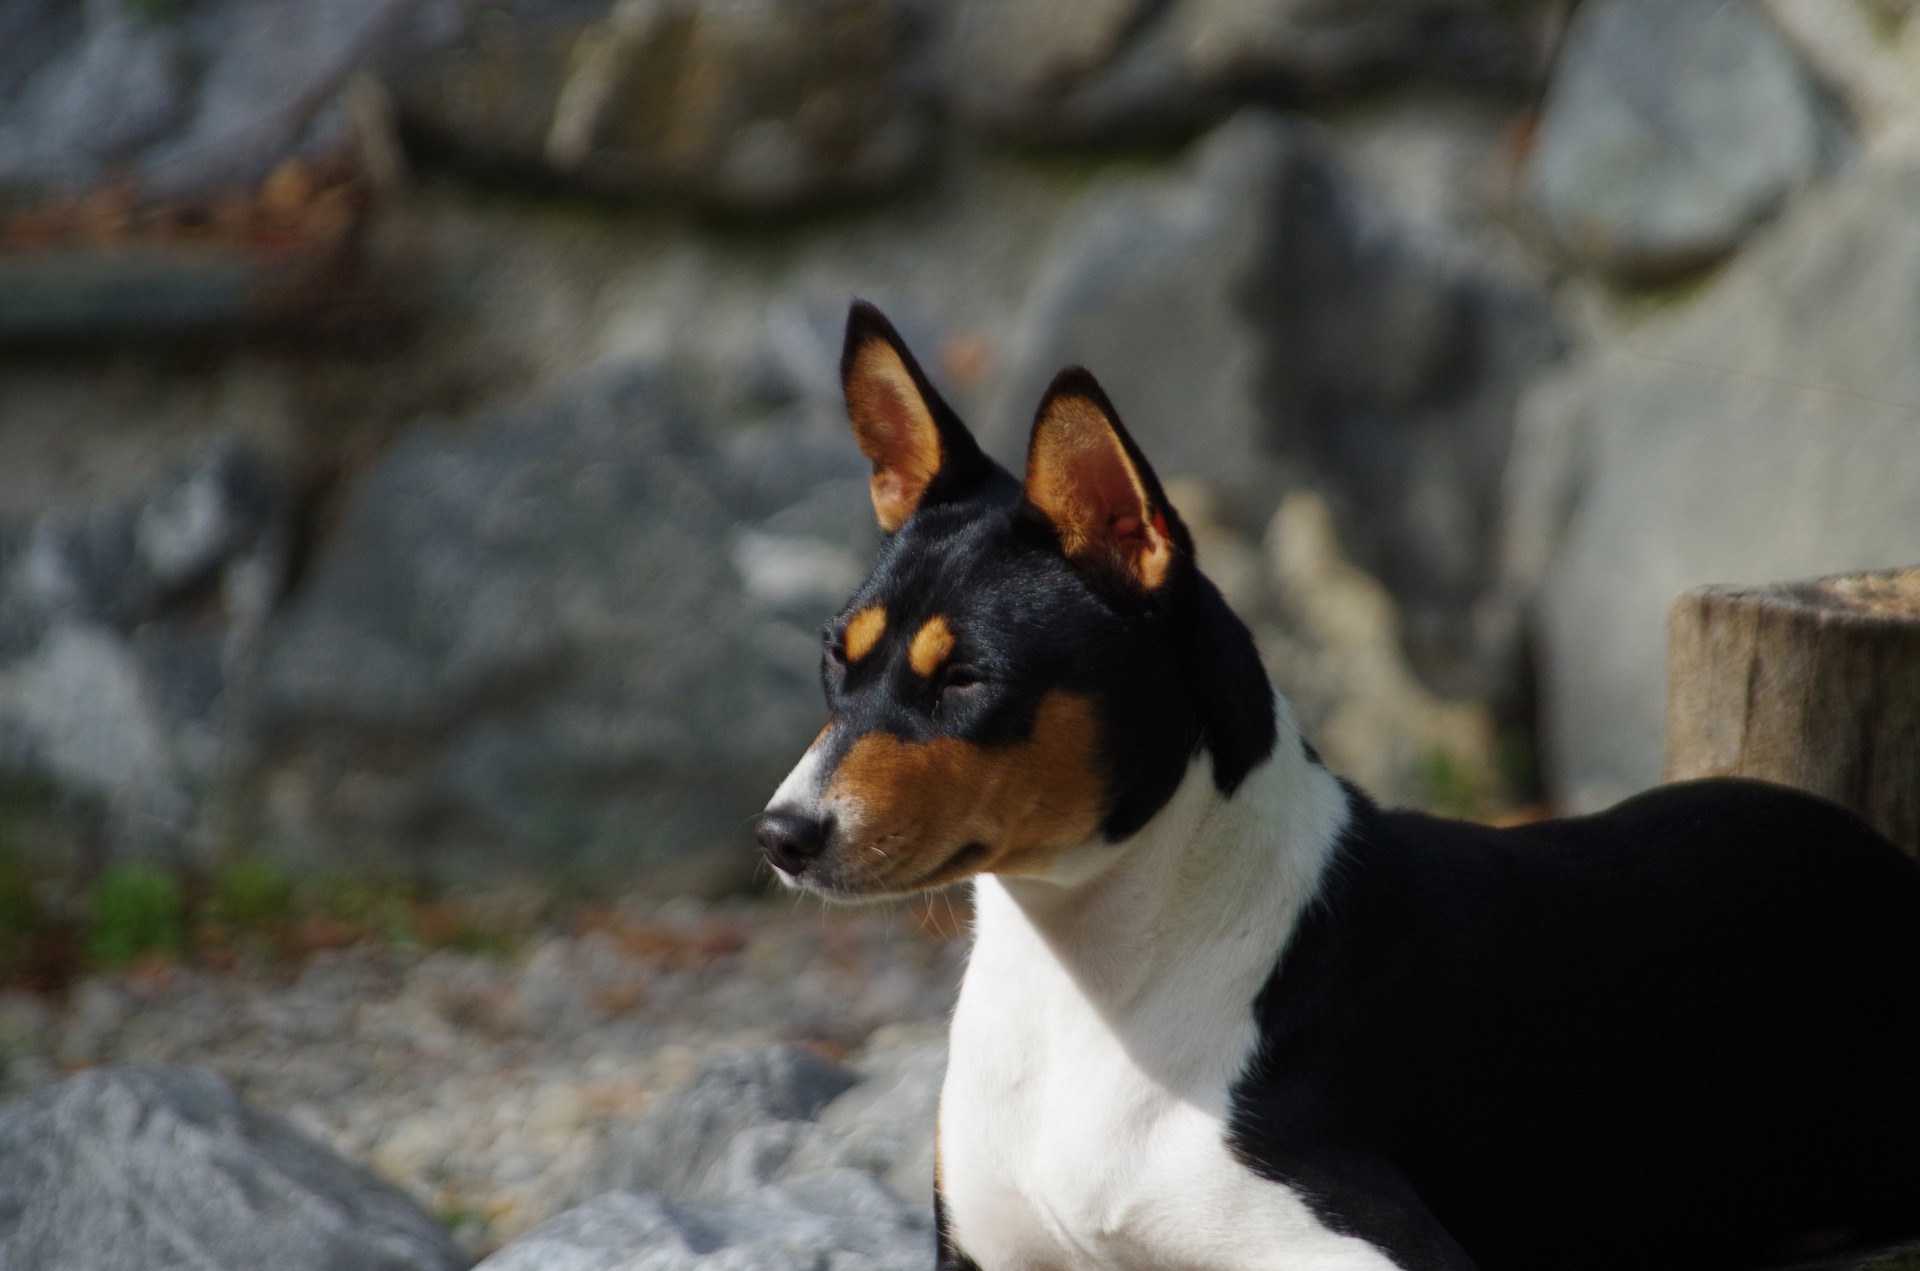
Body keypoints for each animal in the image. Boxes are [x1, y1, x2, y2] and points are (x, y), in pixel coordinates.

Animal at [756, 301, 1920, 1271]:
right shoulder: (988, 1249)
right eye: (834, 658)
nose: (783, 832)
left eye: (967, 679)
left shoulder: (1364, 1238)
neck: (1087, 983)